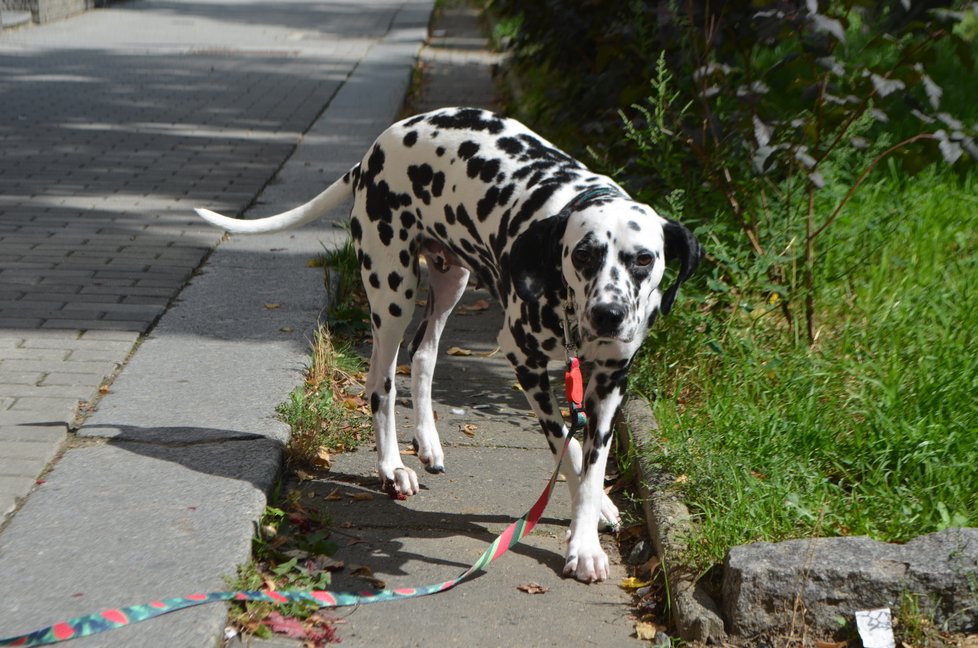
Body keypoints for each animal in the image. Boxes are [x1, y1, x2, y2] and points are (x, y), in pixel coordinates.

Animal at [194, 106, 696, 584]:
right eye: (584, 254)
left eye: (643, 259)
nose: (608, 315)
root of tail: (374, 151)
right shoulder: (524, 359)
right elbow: (565, 449)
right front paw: (584, 532)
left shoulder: (610, 381)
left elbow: (592, 466)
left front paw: (589, 535)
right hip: (393, 294)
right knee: (380, 382)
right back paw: (392, 467)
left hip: (451, 281)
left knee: (423, 354)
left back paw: (428, 442)